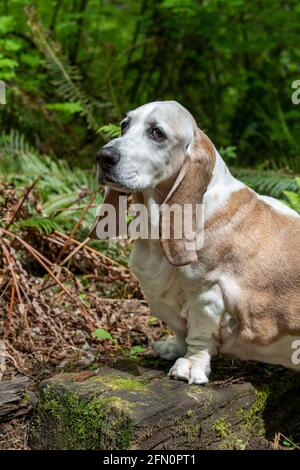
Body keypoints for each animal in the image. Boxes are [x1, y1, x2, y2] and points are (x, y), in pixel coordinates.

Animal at [91, 101, 300, 384]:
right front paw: (172, 348)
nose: (104, 156)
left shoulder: (206, 293)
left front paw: (190, 365)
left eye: (157, 133)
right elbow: (180, 329)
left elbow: (199, 336)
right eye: (124, 125)